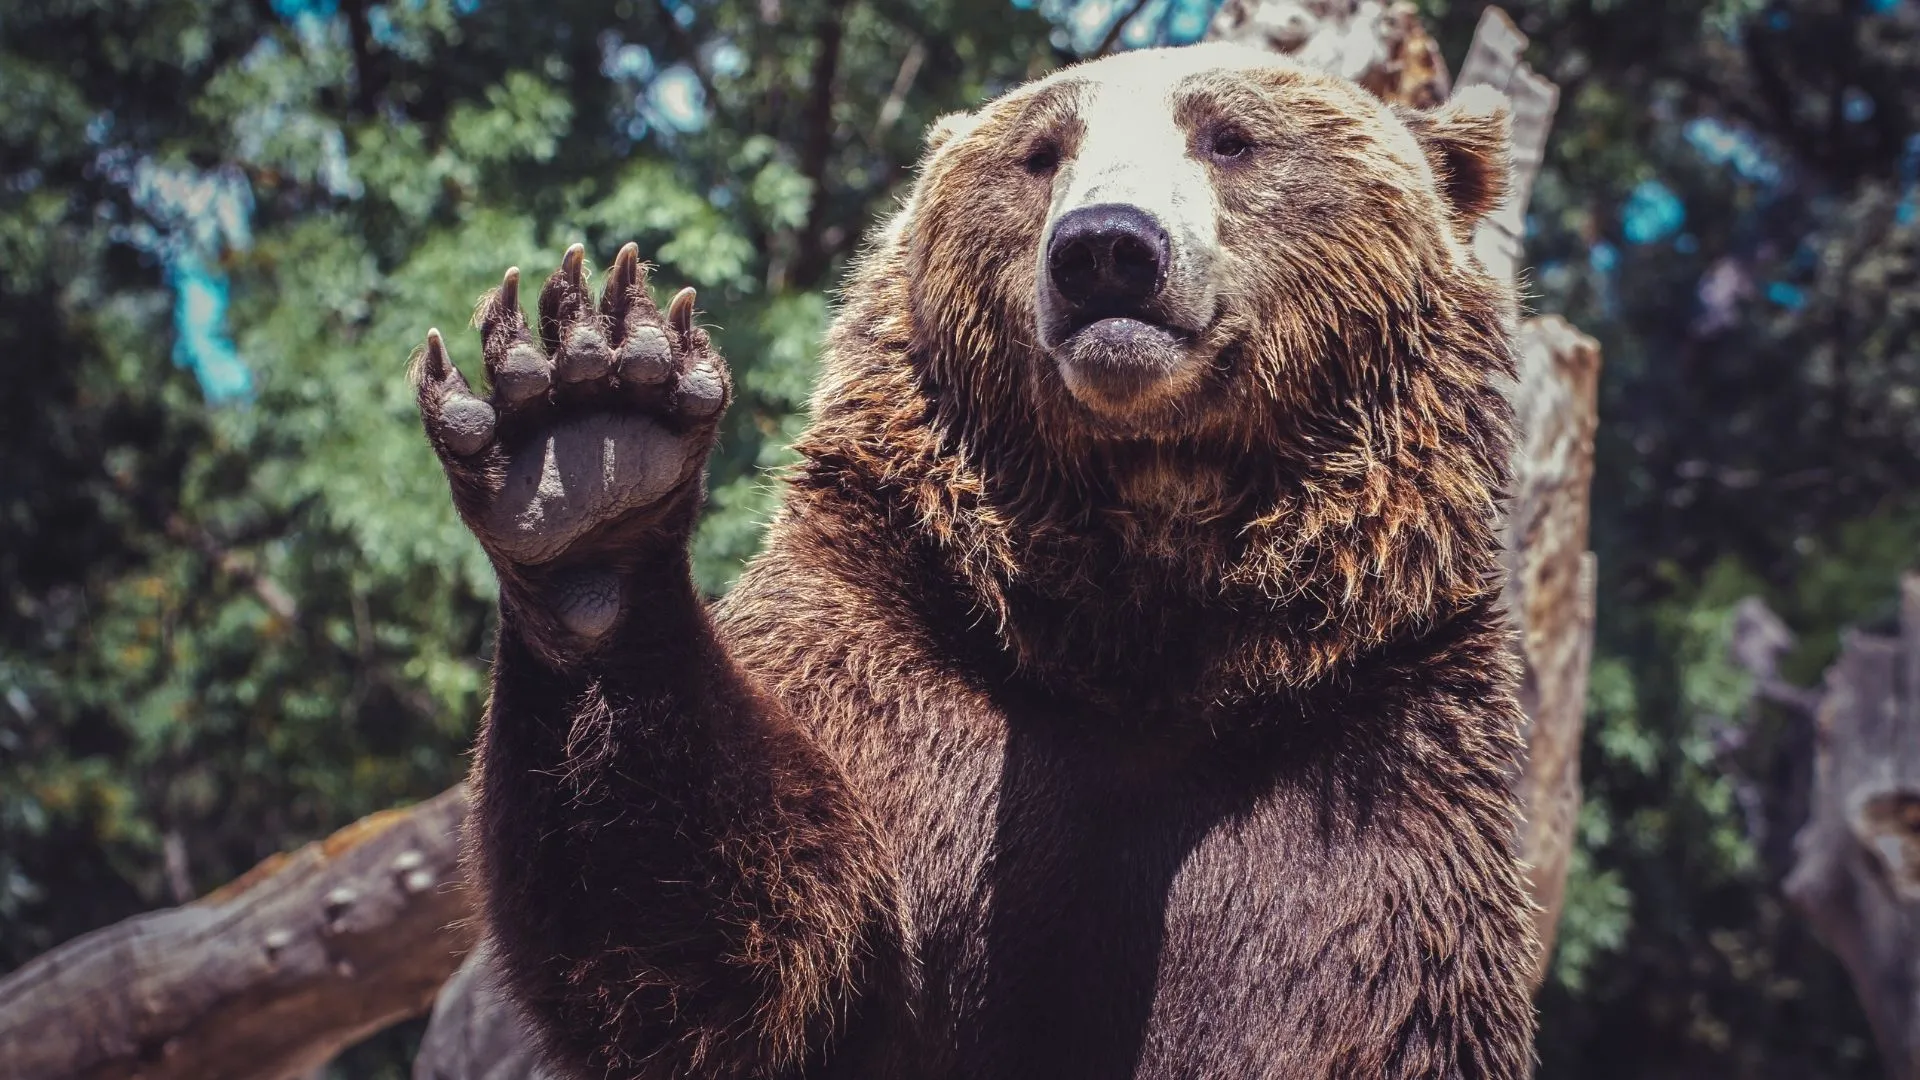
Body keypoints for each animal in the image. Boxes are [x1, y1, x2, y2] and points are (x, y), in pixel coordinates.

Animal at [411, 41, 1536, 1080]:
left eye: (1230, 137)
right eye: (1041, 152)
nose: (1107, 248)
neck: (1142, 626)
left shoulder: (1368, 764)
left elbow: (1361, 1004)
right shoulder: (899, 654)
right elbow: (750, 959)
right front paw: (588, 442)